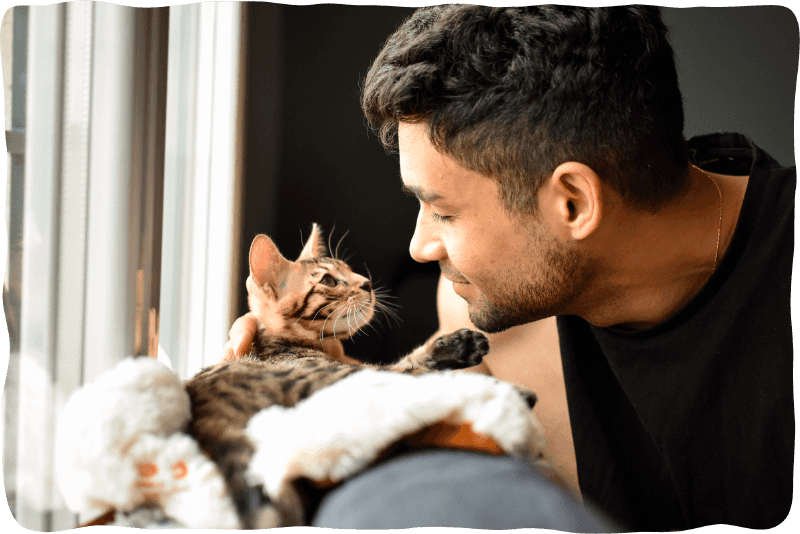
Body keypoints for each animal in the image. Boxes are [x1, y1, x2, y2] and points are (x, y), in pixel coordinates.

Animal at [186, 224, 506, 528]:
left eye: (349, 269)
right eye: (329, 281)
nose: (367, 283)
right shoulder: (351, 372)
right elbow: (405, 365)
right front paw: (456, 347)